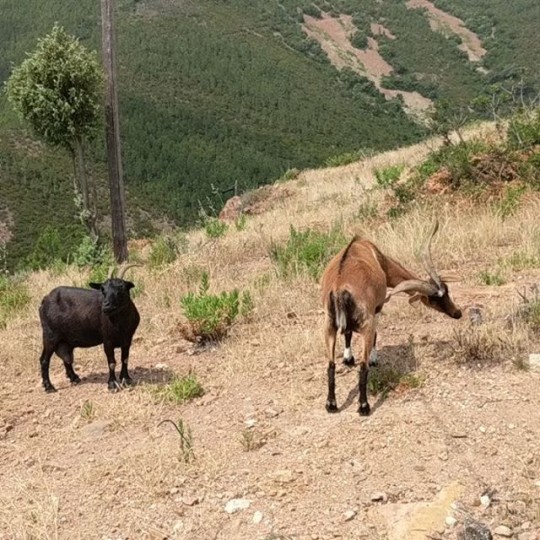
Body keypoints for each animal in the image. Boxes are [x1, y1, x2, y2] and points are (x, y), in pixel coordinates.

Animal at [38, 264, 140, 392]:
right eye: (103, 289)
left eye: (121, 288)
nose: (106, 306)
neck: (121, 324)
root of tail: (44, 300)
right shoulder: (107, 340)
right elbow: (111, 363)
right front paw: (112, 384)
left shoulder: (127, 339)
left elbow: (125, 359)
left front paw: (126, 379)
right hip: (49, 336)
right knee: (44, 360)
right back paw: (49, 386)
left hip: (65, 340)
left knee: (66, 358)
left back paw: (74, 378)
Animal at [320, 221, 460, 416]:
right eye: (433, 300)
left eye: (447, 290)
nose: (457, 313)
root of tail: (340, 289)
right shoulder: (377, 307)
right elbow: (375, 335)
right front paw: (373, 358)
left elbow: (347, 333)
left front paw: (348, 358)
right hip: (366, 323)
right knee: (363, 367)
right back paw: (364, 406)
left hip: (328, 325)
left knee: (330, 365)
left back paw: (331, 404)